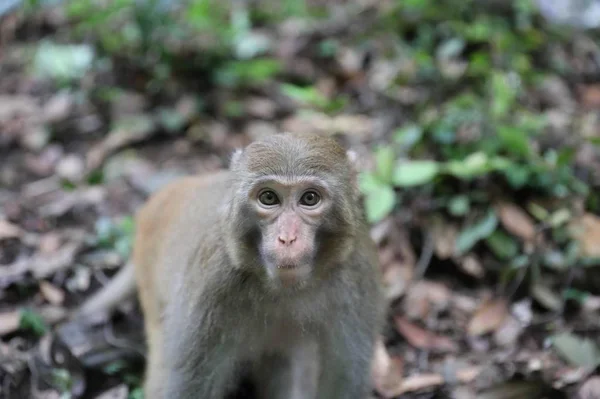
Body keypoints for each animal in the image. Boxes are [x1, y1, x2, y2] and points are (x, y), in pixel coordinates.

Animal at [76, 133, 384, 398]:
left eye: (310, 198)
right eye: (269, 198)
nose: (287, 238)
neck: (285, 288)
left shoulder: (357, 273)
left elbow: (345, 380)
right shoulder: (211, 282)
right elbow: (188, 385)